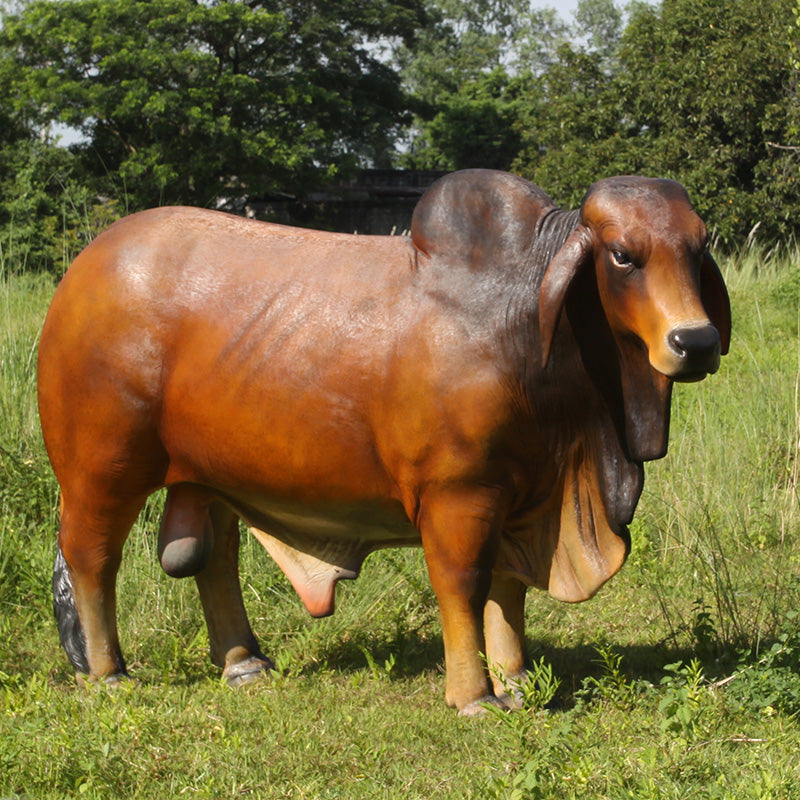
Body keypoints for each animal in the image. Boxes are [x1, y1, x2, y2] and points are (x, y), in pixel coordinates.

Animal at [39, 167, 732, 712]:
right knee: (91, 556)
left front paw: (517, 679)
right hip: (101, 469)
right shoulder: (460, 494)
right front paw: (475, 696)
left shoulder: (525, 494)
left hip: (207, 476)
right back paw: (109, 675)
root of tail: (86, 264)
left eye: (697, 248)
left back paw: (244, 663)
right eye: (622, 255)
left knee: (213, 559)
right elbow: (464, 584)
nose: (695, 341)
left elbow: (507, 589)